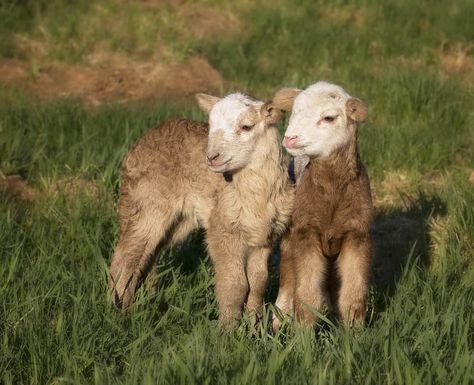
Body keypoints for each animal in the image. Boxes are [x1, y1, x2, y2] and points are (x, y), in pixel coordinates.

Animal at [108, 91, 294, 328]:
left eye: (246, 127)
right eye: (211, 125)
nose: (212, 157)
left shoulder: (263, 238)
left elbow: (258, 283)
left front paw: (254, 327)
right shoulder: (222, 230)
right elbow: (236, 284)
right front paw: (228, 330)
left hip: (179, 220)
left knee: (147, 254)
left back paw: (143, 298)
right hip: (146, 203)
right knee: (126, 254)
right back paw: (118, 307)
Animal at [270, 80, 374, 328]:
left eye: (328, 118)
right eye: (294, 111)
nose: (290, 138)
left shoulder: (358, 233)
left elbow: (353, 294)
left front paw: (353, 331)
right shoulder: (305, 231)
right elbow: (307, 294)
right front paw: (303, 333)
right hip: (289, 234)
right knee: (288, 276)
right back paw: (279, 319)